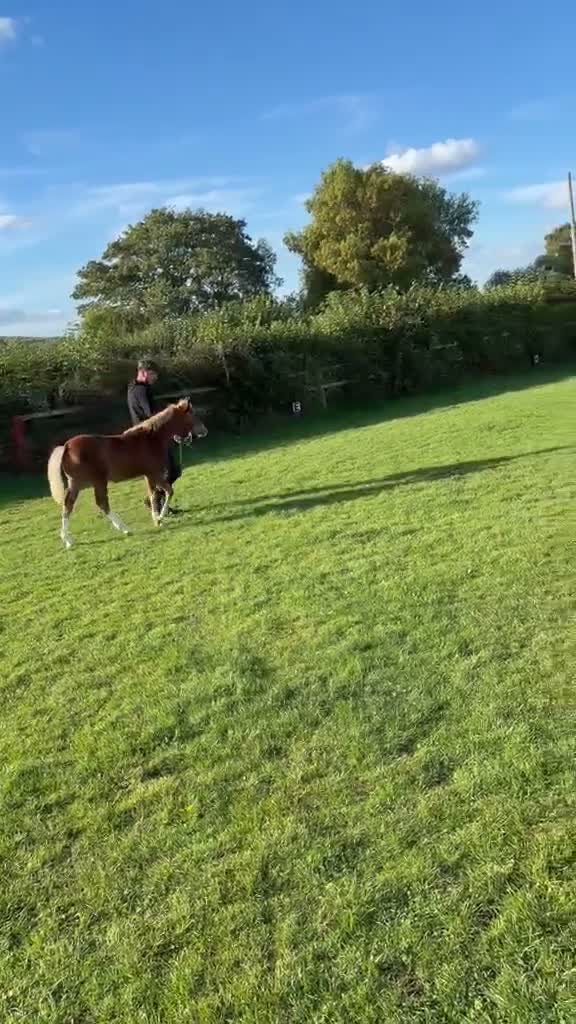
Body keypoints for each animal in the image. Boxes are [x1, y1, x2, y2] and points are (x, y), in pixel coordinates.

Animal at [47, 399, 207, 549]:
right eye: (192, 415)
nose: (204, 430)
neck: (152, 438)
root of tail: (66, 446)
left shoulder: (148, 476)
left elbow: (153, 495)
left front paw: (156, 520)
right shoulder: (155, 473)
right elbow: (168, 491)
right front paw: (160, 518)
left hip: (76, 483)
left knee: (68, 505)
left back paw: (68, 540)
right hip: (97, 481)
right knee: (101, 503)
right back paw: (125, 529)